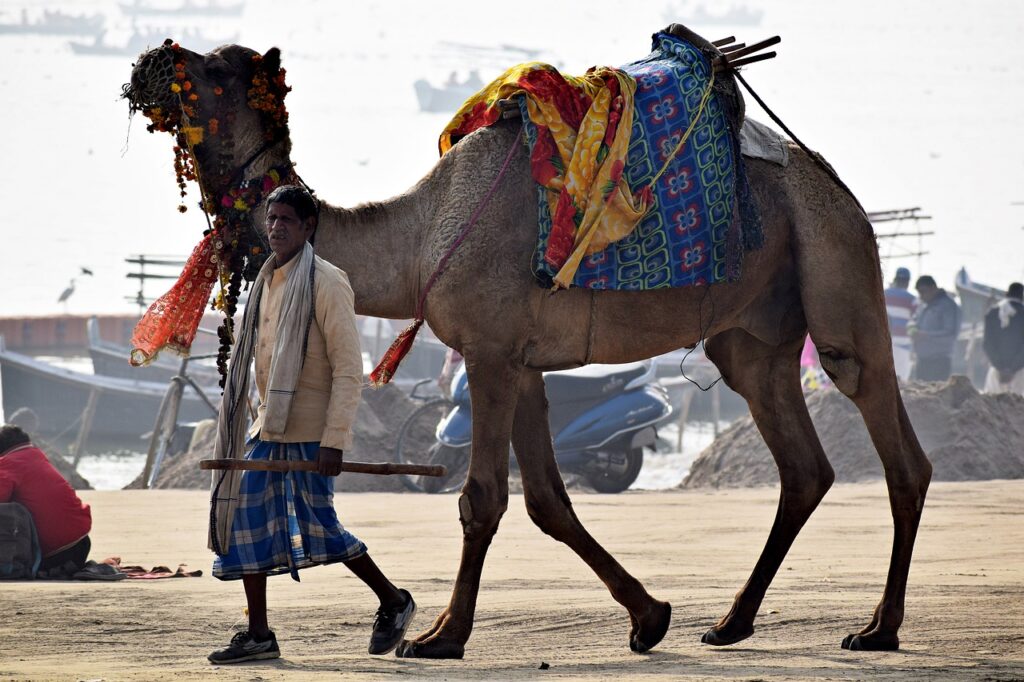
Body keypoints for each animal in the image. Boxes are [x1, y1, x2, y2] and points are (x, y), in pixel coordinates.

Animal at [123, 27, 933, 659]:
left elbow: (482, 496)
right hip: (752, 336)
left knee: (893, 441)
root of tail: (836, 184)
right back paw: (731, 622)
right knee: (802, 465)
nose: (153, 59)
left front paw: (440, 636)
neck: (419, 237)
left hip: (836, 264)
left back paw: (879, 628)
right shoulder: (525, 362)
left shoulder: (487, 350)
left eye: (216, 71)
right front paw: (650, 617)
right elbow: (548, 500)